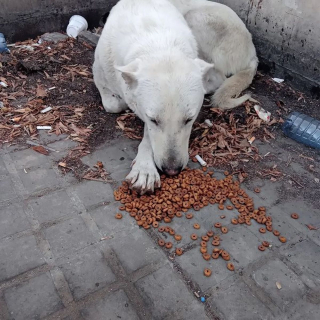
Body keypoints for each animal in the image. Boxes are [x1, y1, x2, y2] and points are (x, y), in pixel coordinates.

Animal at [94, 0, 216, 192]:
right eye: (154, 120)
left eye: (189, 119)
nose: (172, 170)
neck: (158, 45)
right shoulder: (100, 68)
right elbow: (114, 104)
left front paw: (144, 169)